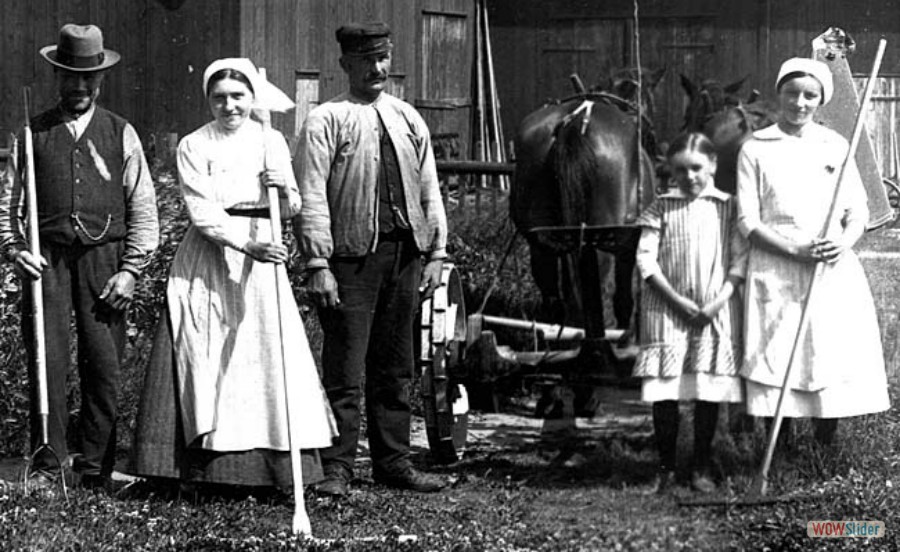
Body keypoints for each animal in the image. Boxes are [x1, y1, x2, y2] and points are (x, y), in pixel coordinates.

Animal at [512, 70, 660, 358]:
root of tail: (572, 123)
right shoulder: (628, 243)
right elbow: (623, 298)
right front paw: (625, 341)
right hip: (596, 236)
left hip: (541, 240)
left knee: (554, 294)